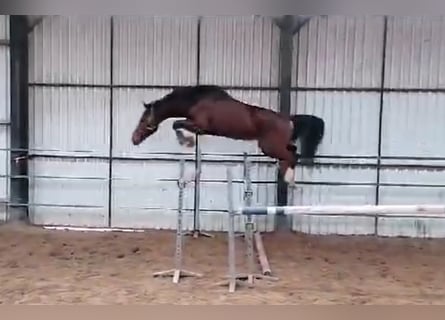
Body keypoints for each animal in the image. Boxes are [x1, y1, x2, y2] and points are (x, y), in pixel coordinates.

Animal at [130, 85, 324, 185]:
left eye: (143, 120)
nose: (134, 139)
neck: (196, 101)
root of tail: (289, 119)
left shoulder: (200, 126)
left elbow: (176, 124)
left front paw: (187, 141)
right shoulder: (201, 128)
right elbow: (177, 124)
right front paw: (188, 141)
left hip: (269, 147)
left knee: (293, 155)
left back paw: (289, 179)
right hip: (275, 146)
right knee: (293, 151)